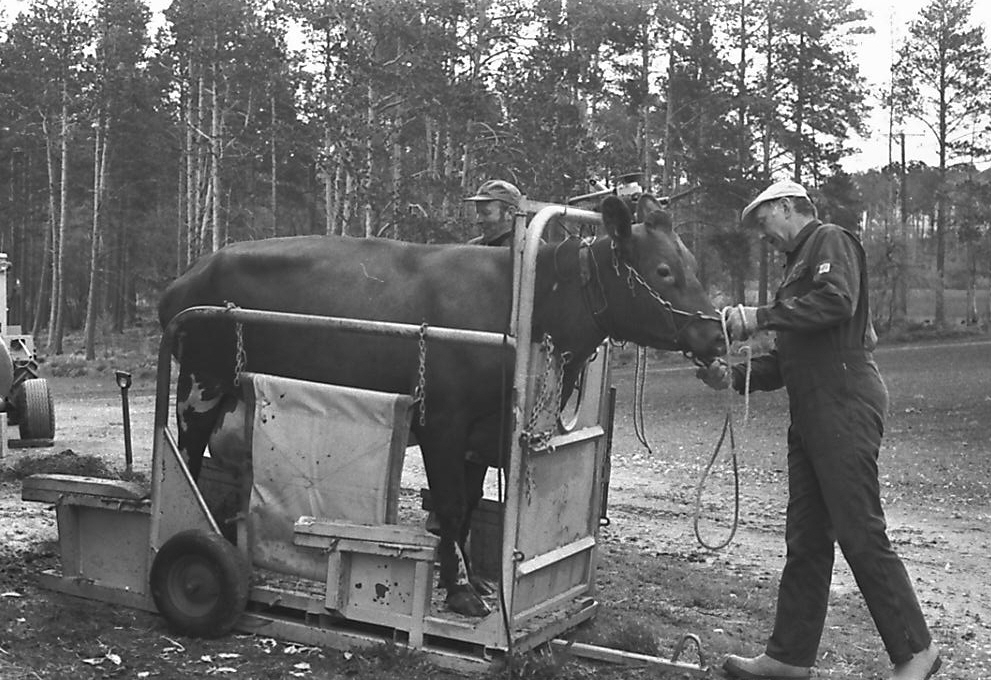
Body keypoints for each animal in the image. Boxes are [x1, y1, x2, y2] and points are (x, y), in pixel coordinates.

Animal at [161, 194, 720, 620]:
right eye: (664, 270)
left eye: (694, 267)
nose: (715, 334)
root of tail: (188, 275)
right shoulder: (445, 423)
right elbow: (450, 506)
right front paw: (461, 592)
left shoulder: (480, 435)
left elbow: (469, 506)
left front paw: (473, 579)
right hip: (200, 386)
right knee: (184, 458)